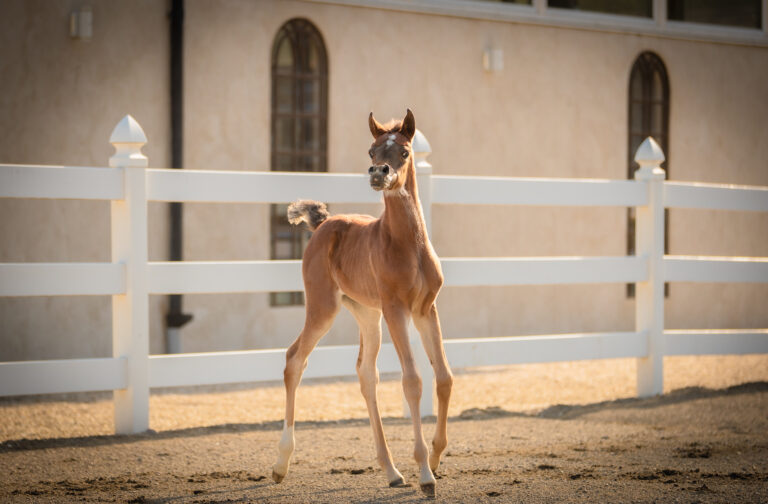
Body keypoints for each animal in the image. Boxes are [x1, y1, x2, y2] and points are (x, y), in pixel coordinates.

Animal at [272, 109, 452, 496]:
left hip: (367, 314)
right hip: (323, 307)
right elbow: (412, 380)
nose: (378, 173)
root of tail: (323, 224)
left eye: (403, 152)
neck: (407, 244)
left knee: (366, 373)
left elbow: (443, 377)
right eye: (371, 151)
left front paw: (434, 459)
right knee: (295, 359)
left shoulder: (425, 309)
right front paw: (425, 474)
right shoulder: (397, 309)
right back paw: (280, 465)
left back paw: (392, 471)